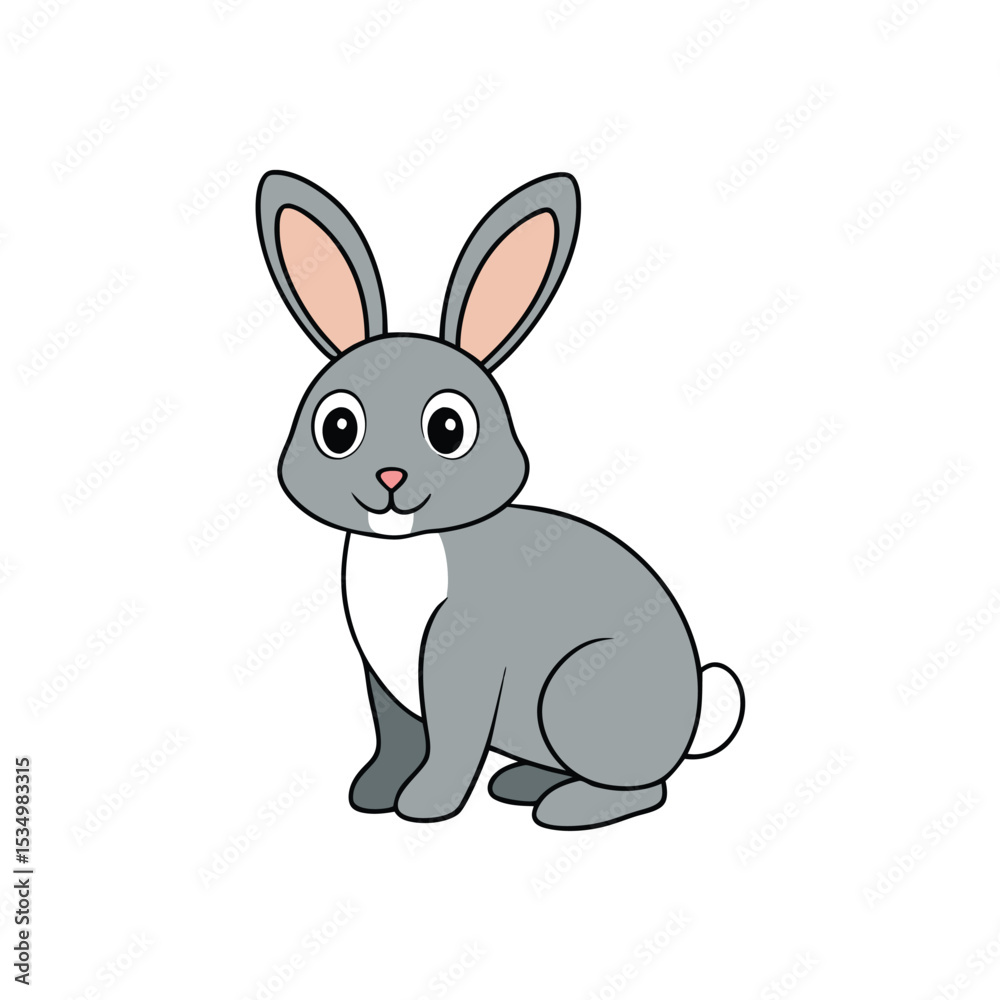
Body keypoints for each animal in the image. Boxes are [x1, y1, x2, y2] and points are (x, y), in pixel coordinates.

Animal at [255, 170, 744, 830]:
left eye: (448, 429)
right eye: (338, 428)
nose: (390, 477)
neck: (404, 552)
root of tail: (688, 725)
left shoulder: (465, 662)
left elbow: (452, 741)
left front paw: (425, 806)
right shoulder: (384, 682)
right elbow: (396, 737)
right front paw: (375, 793)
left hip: (573, 692)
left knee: (646, 790)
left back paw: (566, 808)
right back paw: (522, 782)